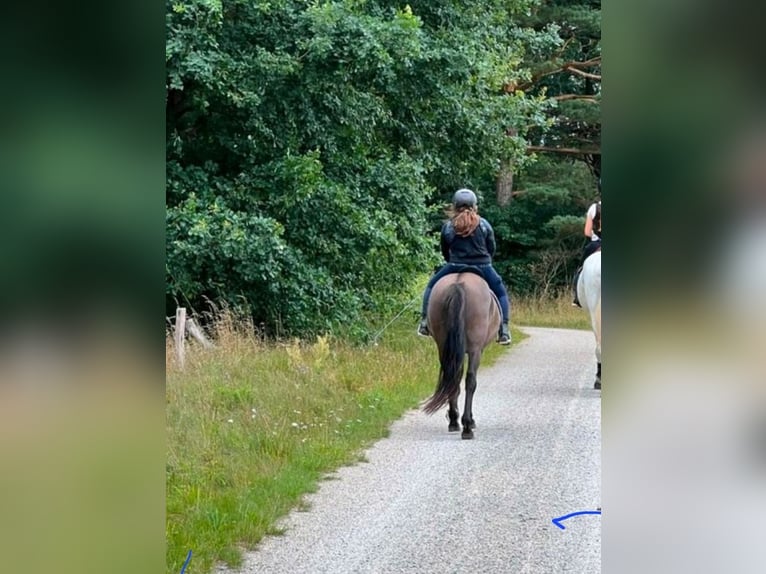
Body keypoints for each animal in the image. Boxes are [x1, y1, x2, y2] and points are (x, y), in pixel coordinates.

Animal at [421, 272, 502, 439]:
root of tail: (459, 283)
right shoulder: (477, 350)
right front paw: (470, 421)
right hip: (474, 350)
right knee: (470, 381)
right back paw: (467, 427)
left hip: (443, 346)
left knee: (453, 379)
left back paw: (454, 421)